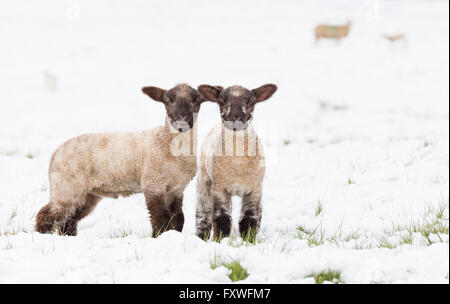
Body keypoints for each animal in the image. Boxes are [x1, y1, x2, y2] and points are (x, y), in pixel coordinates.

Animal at [36, 83, 206, 238]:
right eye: (168, 100)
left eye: (196, 100)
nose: (182, 120)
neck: (167, 142)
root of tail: (55, 154)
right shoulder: (153, 184)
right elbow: (161, 218)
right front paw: (159, 237)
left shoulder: (176, 189)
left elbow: (178, 219)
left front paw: (172, 236)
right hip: (67, 187)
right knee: (47, 214)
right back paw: (40, 235)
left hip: (85, 194)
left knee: (68, 220)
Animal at [196, 83, 278, 240]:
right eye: (221, 101)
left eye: (251, 102)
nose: (235, 121)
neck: (237, 164)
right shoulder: (219, 188)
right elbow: (222, 218)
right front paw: (220, 240)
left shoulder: (254, 189)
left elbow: (249, 218)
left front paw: (249, 241)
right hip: (203, 179)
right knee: (203, 214)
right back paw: (200, 236)